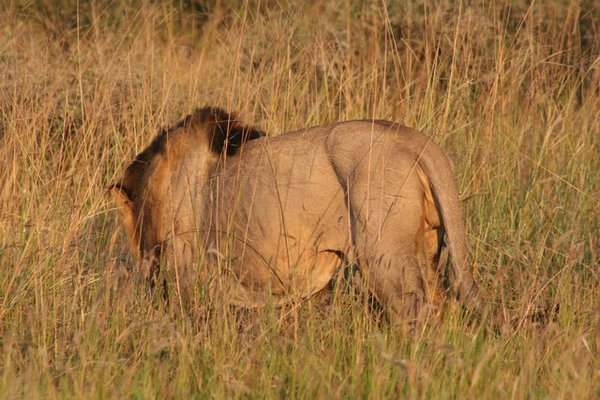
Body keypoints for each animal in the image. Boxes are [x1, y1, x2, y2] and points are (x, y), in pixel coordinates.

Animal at [112, 107, 482, 328]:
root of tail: (416, 141)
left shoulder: (187, 273)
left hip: (384, 255)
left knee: (418, 311)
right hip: (425, 251)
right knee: (444, 304)